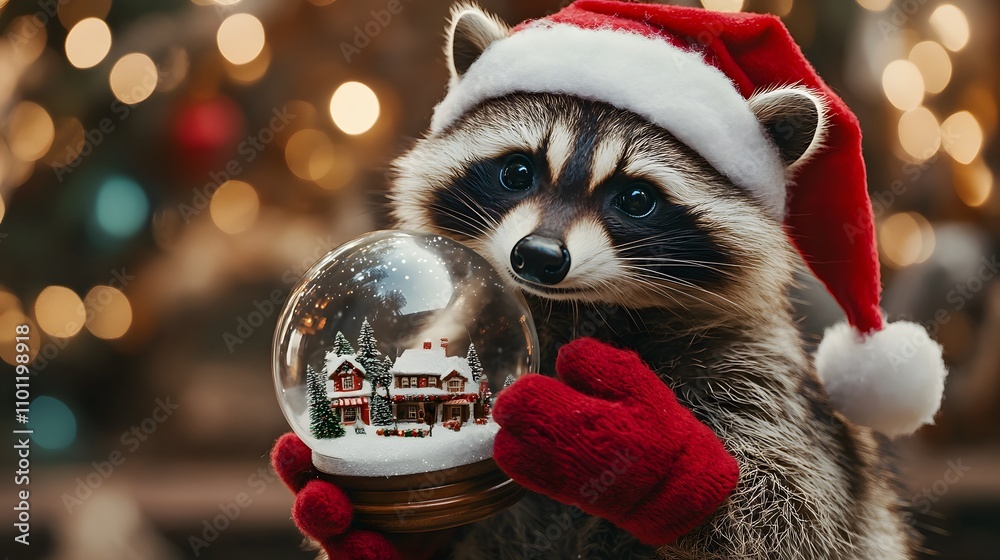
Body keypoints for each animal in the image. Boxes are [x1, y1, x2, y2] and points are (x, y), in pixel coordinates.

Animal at [384, 4, 920, 560]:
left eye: (636, 199)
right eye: (516, 171)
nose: (537, 256)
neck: (577, 310)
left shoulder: (759, 377)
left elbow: (793, 513)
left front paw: (659, 461)